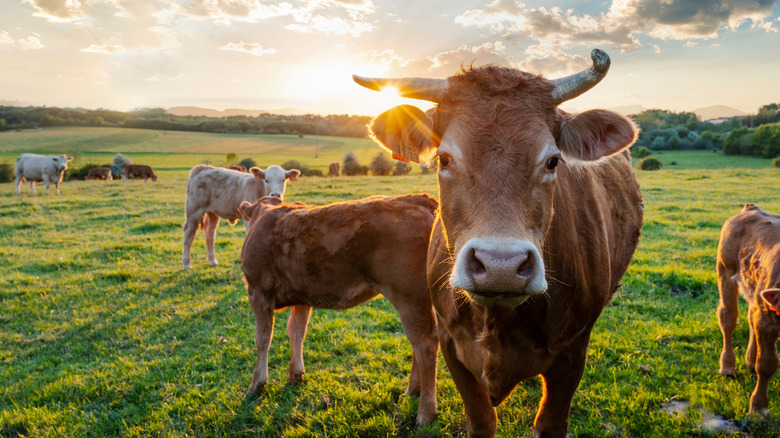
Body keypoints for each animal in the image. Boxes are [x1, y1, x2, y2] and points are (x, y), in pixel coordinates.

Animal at [238, 194, 442, 424]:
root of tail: (414, 199)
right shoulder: (301, 298)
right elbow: (296, 332)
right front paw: (295, 374)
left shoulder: (257, 292)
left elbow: (263, 339)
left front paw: (256, 384)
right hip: (420, 299)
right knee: (421, 342)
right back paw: (412, 391)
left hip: (409, 297)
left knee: (425, 344)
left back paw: (425, 413)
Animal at [354, 46, 644, 436]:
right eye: (444, 158)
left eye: (553, 161)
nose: (500, 267)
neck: (496, 319)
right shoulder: (452, 344)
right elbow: (480, 419)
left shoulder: (573, 352)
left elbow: (550, 422)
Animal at [720, 204, 780, 416]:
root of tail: (752, 208)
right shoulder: (769, 322)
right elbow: (767, 364)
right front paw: (758, 406)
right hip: (725, 270)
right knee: (727, 318)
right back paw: (728, 366)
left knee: (751, 317)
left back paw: (750, 360)